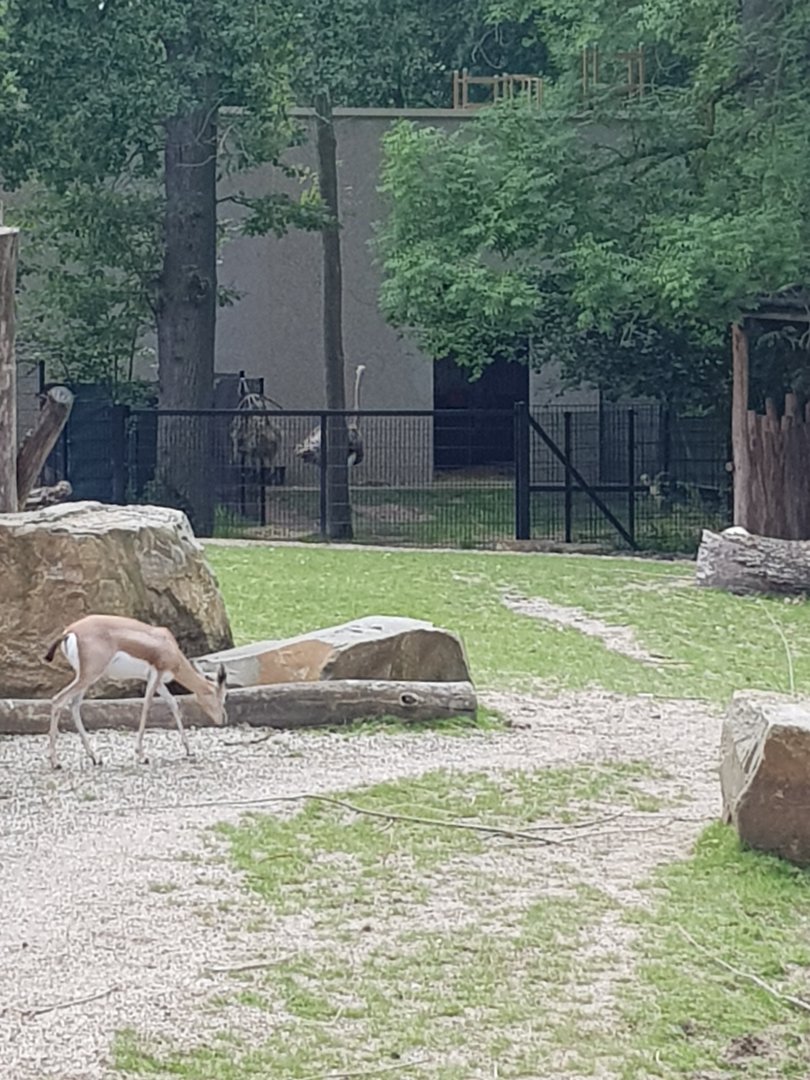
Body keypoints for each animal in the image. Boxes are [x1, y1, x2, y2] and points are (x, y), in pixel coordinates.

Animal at [44, 614, 228, 770]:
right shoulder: (155, 675)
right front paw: (141, 755)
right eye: (223, 697)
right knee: (58, 699)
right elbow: (147, 706)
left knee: (74, 705)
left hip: (85, 678)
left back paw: (95, 758)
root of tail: (69, 632)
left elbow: (173, 703)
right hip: (89, 676)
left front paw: (189, 749)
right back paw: (56, 762)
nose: (223, 719)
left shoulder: (159, 682)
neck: (168, 645)